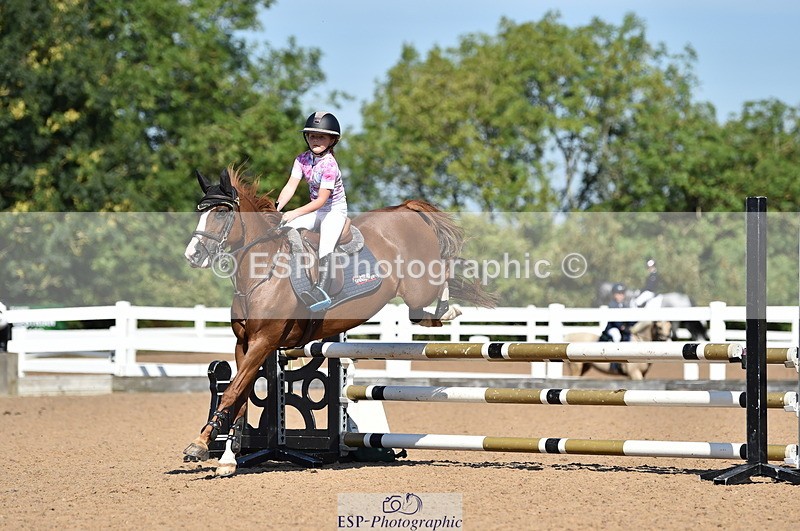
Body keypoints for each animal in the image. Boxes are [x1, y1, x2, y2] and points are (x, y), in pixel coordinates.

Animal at [182, 166, 497, 476]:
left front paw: (199, 444)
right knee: (419, 312)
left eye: (221, 213)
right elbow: (240, 396)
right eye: (201, 212)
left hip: (419, 284)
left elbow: (232, 391)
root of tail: (405, 208)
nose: (192, 255)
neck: (262, 270)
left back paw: (448, 309)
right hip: (414, 295)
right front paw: (226, 457)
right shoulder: (245, 344)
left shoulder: (264, 341)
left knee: (443, 273)